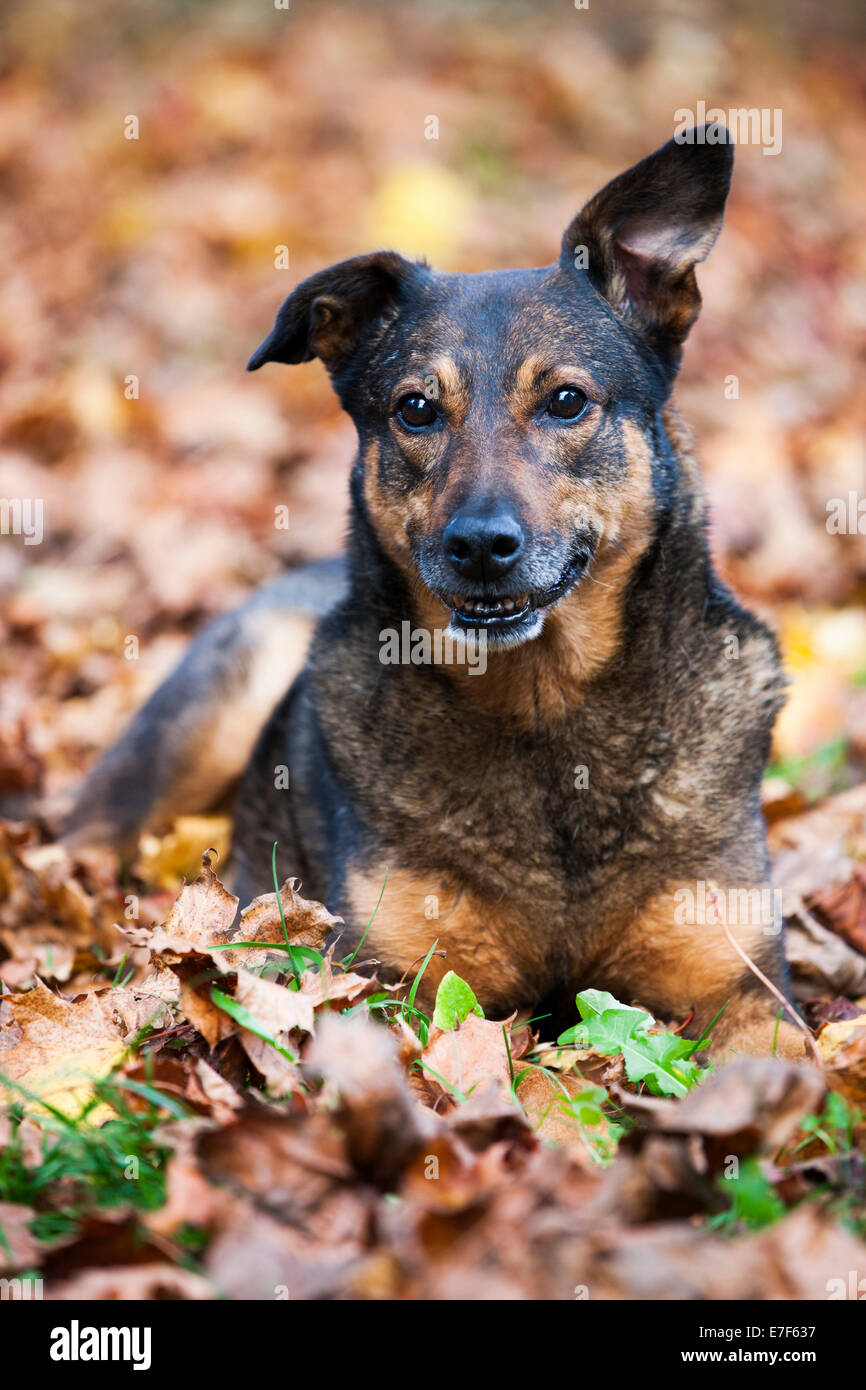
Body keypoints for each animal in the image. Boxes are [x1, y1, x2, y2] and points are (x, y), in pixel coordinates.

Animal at [64, 130, 811, 1056]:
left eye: (567, 400)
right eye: (416, 409)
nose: (480, 545)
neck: (547, 705)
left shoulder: (739, 983)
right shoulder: (389, 980)